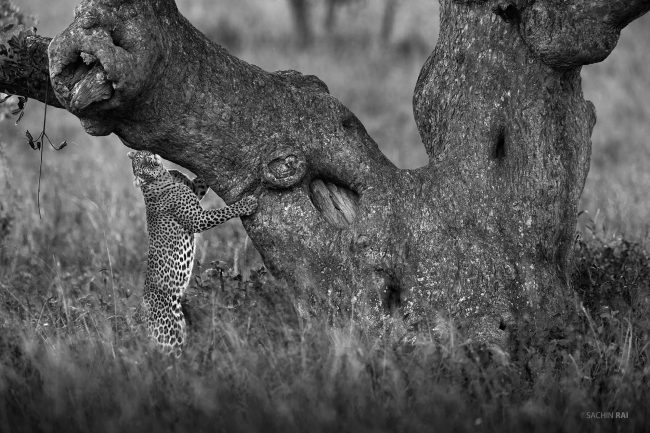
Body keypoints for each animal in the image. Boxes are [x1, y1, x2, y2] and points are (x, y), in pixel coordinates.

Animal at [128, 150, 258, 355]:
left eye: (143, 156)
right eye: (143, 164)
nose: (153, 156)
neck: (162, 177)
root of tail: (141, 316)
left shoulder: (194, 189)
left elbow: (201, 181)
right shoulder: (197, 219)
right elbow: (222, 212)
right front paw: (247, 204)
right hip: (168, 338)